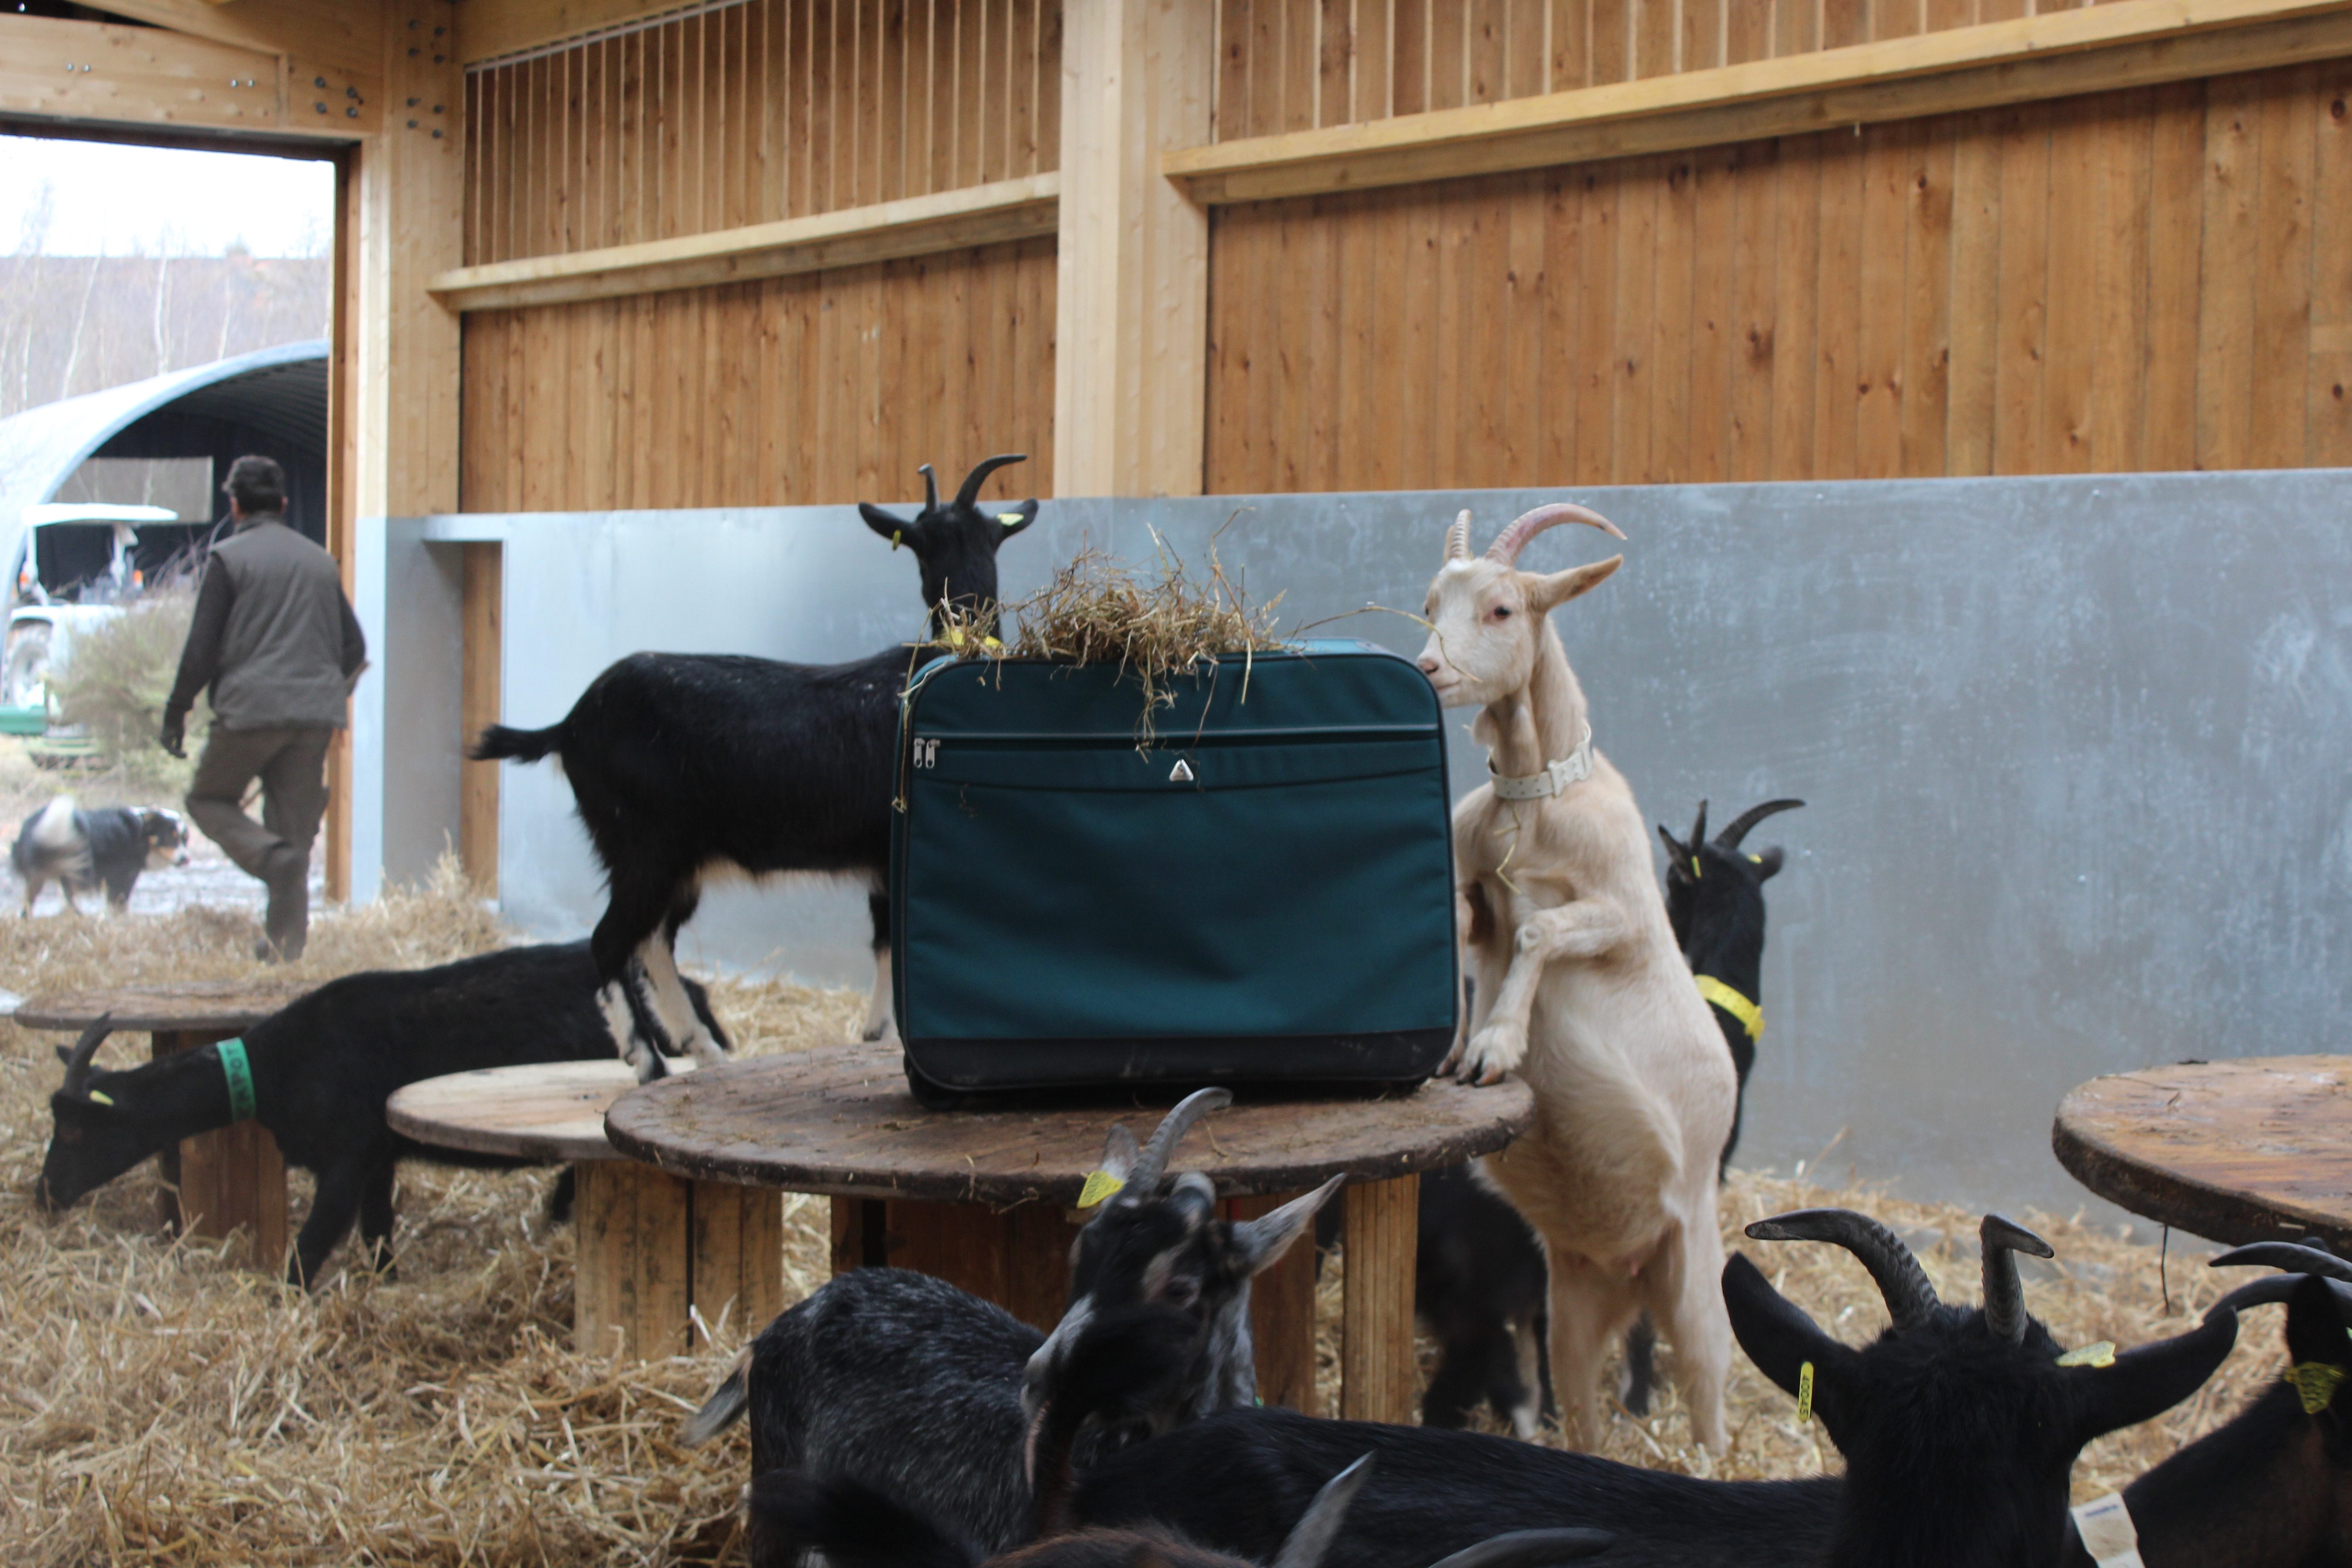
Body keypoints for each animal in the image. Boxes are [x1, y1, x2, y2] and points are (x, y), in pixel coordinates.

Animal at [35, 940, 723, 1286]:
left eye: (77, 1127)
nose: (44, 1194)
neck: (274, 1067)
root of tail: (695, 994)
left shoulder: (347, 1155)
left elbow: (310, 1247)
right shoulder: (378, 1158)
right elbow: (377, 1231)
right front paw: (387, 1283)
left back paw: (556, 1211)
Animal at [469, 455, 1036, 1079]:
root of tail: (569, 724)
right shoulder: (892, 854)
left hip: (676, 861)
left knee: (652, 941)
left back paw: (703, 1049)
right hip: (641, 845)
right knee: (610, 941)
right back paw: (649, 1063)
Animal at [1414, 502, 1738, 1450]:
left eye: (1501, 610)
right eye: (1429, 603)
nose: (1429, 670)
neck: (1535, 801)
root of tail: (1631, 1272)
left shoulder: (1623, 915)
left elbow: (1541, 930)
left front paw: (1493, 1048)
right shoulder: (1475, 890)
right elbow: (1461, 927)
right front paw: (1448, 1049)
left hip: (1695, 1279)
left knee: (1707, 1391)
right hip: (1571, 1304)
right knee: (1582, 1407)